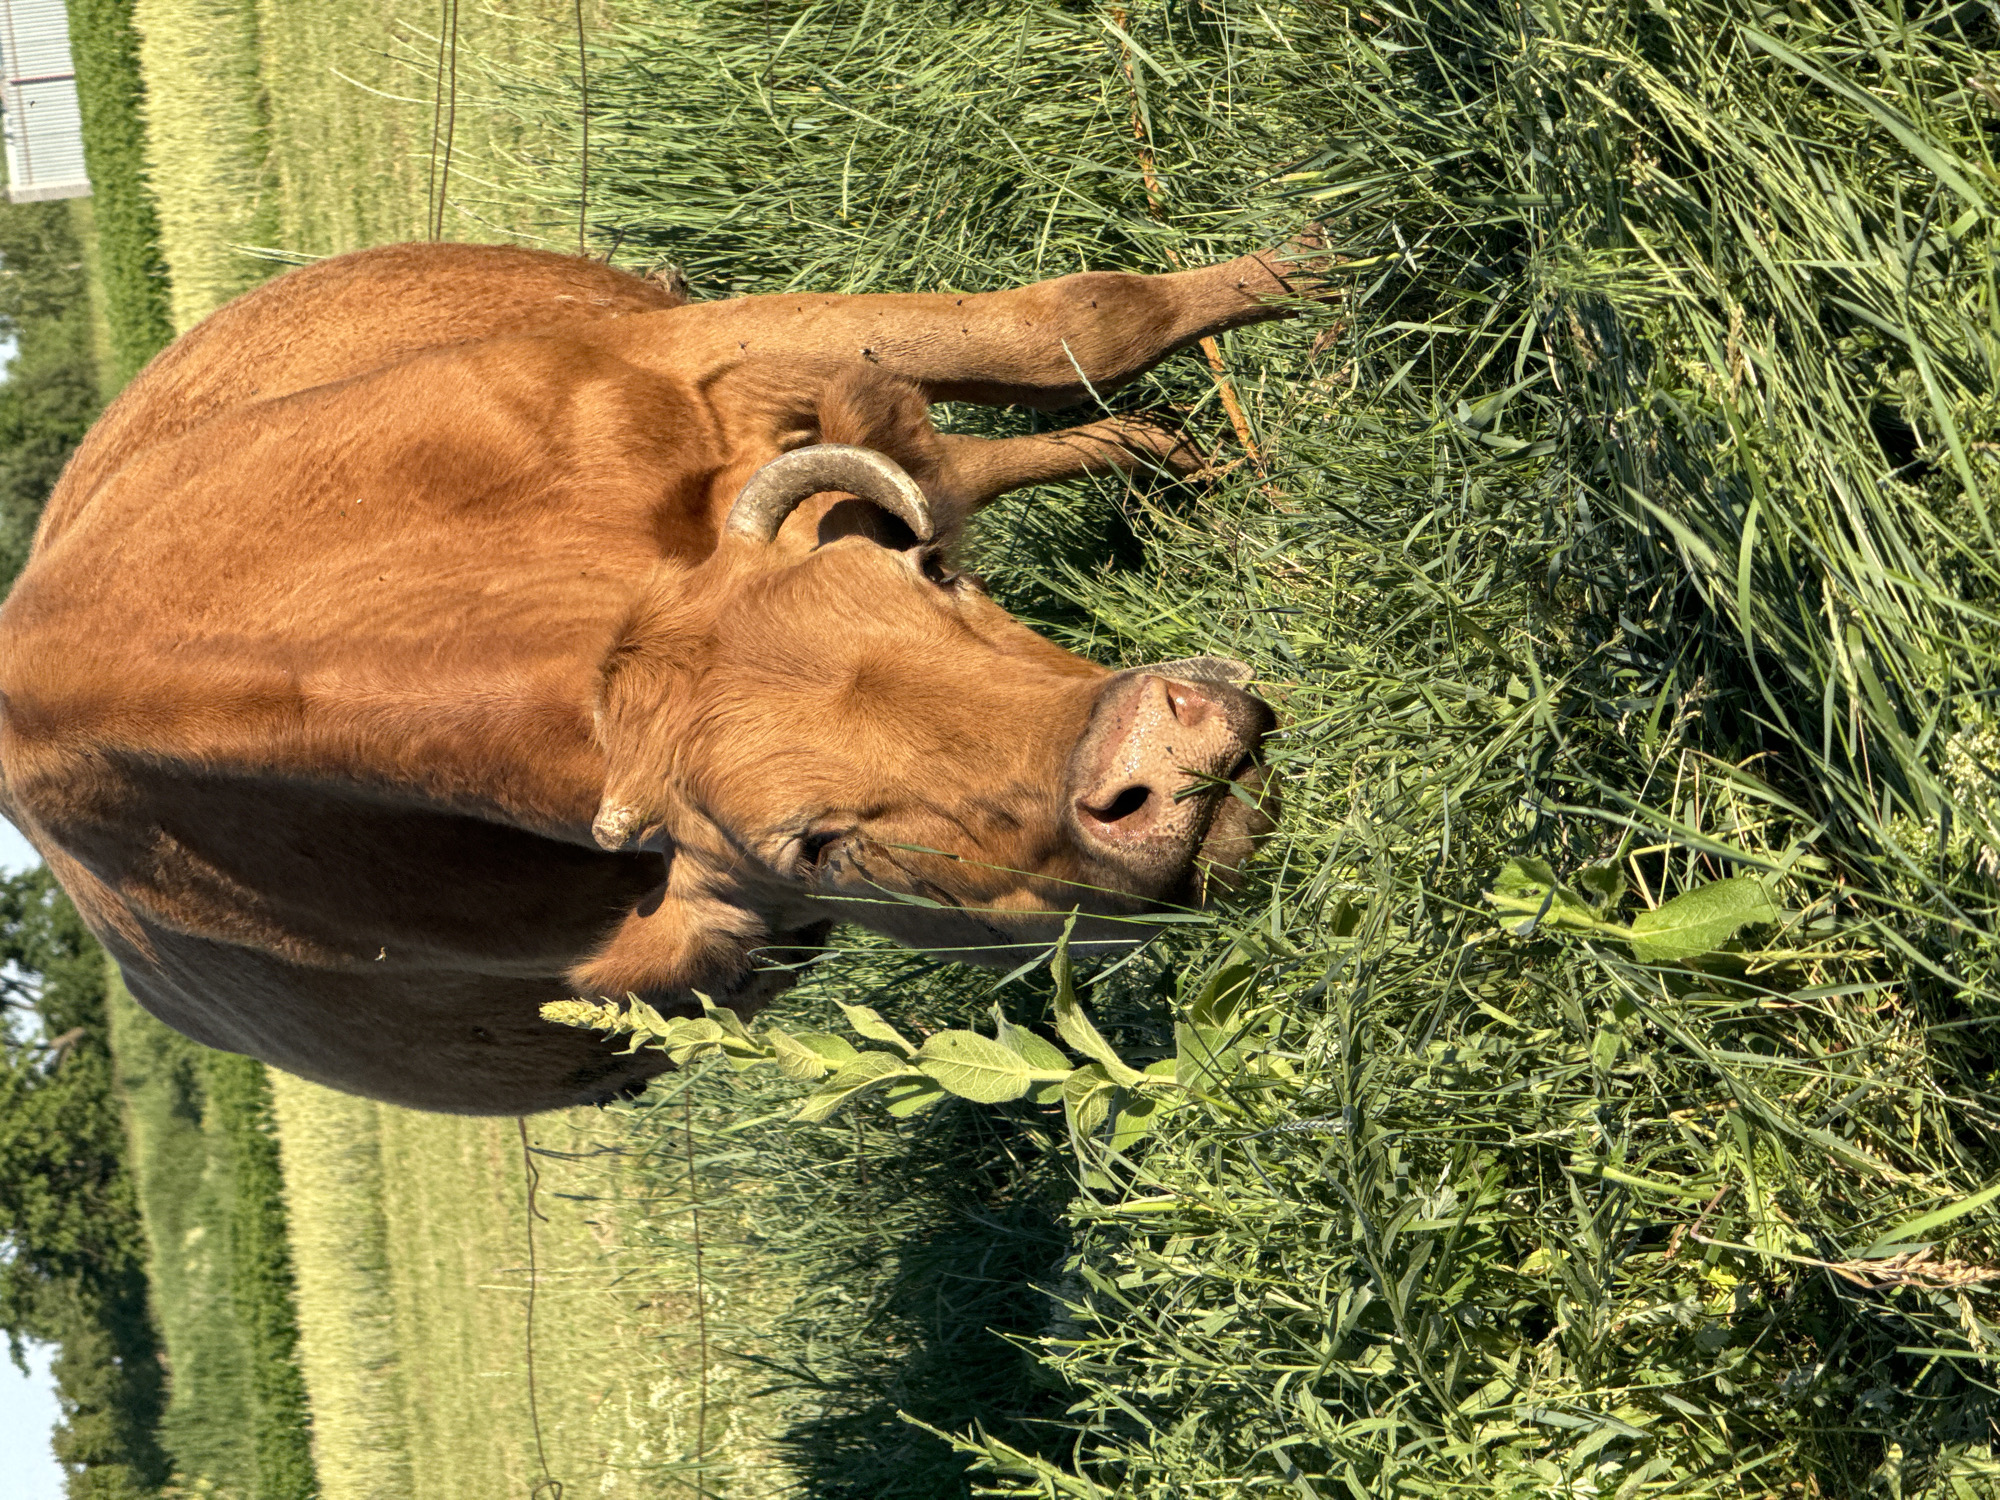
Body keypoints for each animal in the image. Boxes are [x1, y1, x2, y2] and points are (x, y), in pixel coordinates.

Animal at [0, 241, 1314, 1114]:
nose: (1165, 761)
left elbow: (1075, 320)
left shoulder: (708, 346)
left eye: (931, 580)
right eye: (819, 850)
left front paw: (1321, 262)